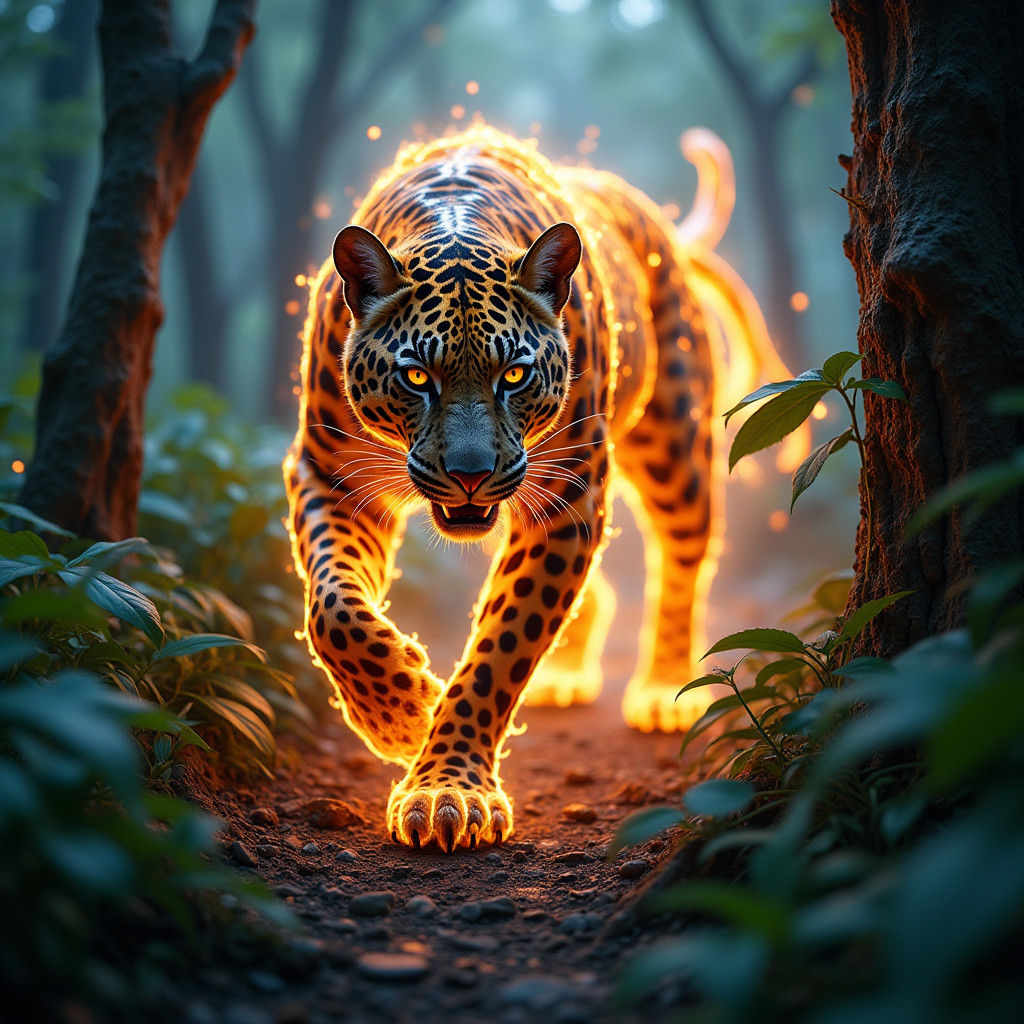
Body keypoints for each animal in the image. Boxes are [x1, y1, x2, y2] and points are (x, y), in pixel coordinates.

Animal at [284, 125, 796, 851]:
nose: (470, 473)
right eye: (416, 378)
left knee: (683, 563)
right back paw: (563, 675)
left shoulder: (568, 500)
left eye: (515, 375)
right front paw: (399, 713)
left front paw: (448, 788)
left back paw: (666, 688)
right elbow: (331, 607)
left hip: (676, 450)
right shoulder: (331, 477)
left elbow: (503, 647)